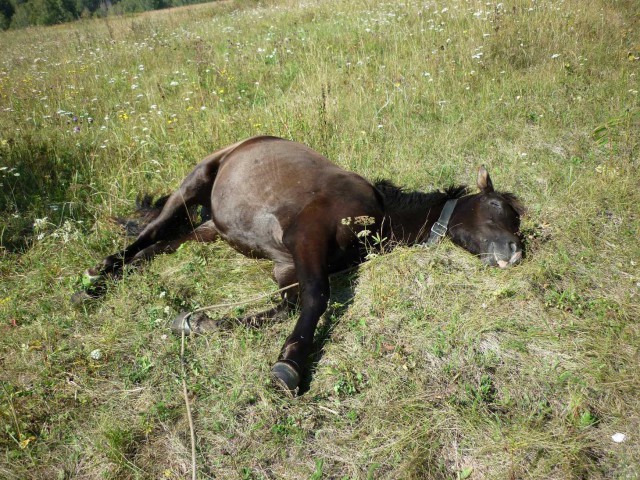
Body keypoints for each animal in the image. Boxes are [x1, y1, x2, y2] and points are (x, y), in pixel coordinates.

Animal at [76, 136, 525, 394]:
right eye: (497, 206)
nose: (515, 251)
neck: (377, 213)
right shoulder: (305, 237)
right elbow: (316, 296)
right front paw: (290, 364)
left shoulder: (287, 266)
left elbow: (284, 306)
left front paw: (197, 322)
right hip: (194, 183)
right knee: (151, 231)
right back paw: (97, 277)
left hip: (211, 229)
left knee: (161, 245)